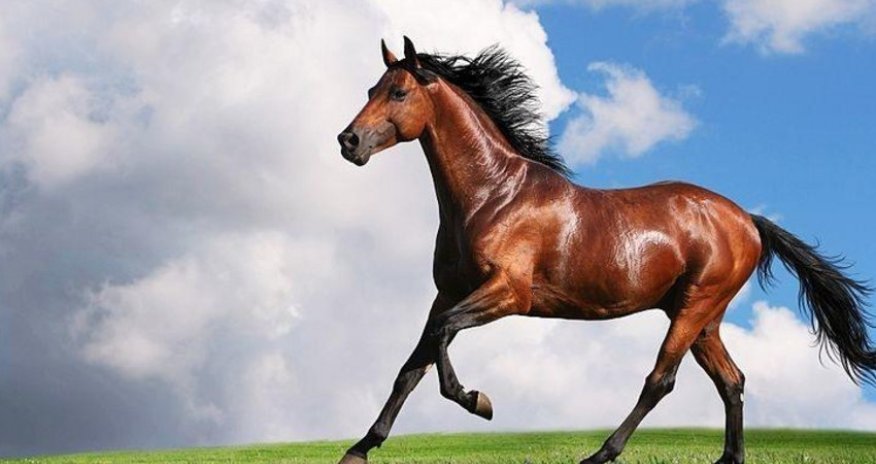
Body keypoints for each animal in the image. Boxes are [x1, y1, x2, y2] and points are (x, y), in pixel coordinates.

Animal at [335, 37, 873, 464]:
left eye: (399, 92)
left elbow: (443, 341)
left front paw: (478, 401)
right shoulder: (446, 294)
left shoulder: (509, 294)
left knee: (661, 380)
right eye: (370, 91)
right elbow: (412, 366)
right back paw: (728, 459)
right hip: (703, 318)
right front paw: (359, 449)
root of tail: (747, 220)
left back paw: (599, 454)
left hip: (695, 307)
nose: (348, 140)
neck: (493, 196)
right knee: (732, 381)